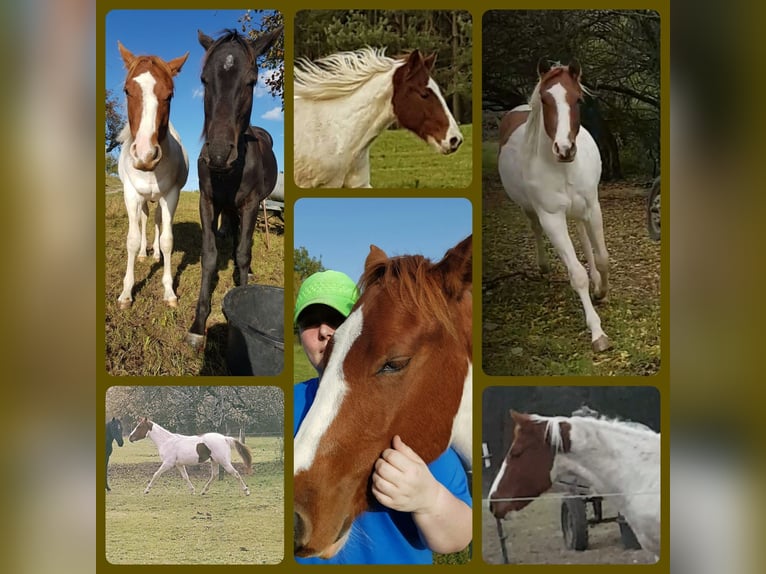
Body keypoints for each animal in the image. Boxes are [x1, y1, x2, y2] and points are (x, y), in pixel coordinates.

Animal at [115, 42, 189, 309]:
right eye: (127, 90)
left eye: (170, 95)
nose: (146, 155)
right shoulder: (131, 194)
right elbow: (132, 238)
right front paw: (126, 293)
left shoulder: (171, 195)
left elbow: (167, 240)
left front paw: (169, 291)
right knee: (146, 220)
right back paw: (143, 254)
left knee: (157, 222)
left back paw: (155, 253)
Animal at [186, 28, 282, 349]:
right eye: (204, 79)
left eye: (251, 80)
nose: (216, 154)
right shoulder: (207, 202)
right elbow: (210, 255)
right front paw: (198, 325)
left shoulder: (251, 204)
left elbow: (242, 252)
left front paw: (243, 286)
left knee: (244, 242)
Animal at [497, 59, 611, 351]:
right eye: (545, 100)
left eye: (578, 99)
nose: (564, 149)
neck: (563, 169)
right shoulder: (552, 218)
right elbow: (576, 274)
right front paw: (598, 333)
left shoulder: (593, 207)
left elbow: (602, 257)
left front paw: (601, 290)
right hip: (531, 209)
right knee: (536, 228)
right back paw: (544, 266)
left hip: (582, 210)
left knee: (583, 236)